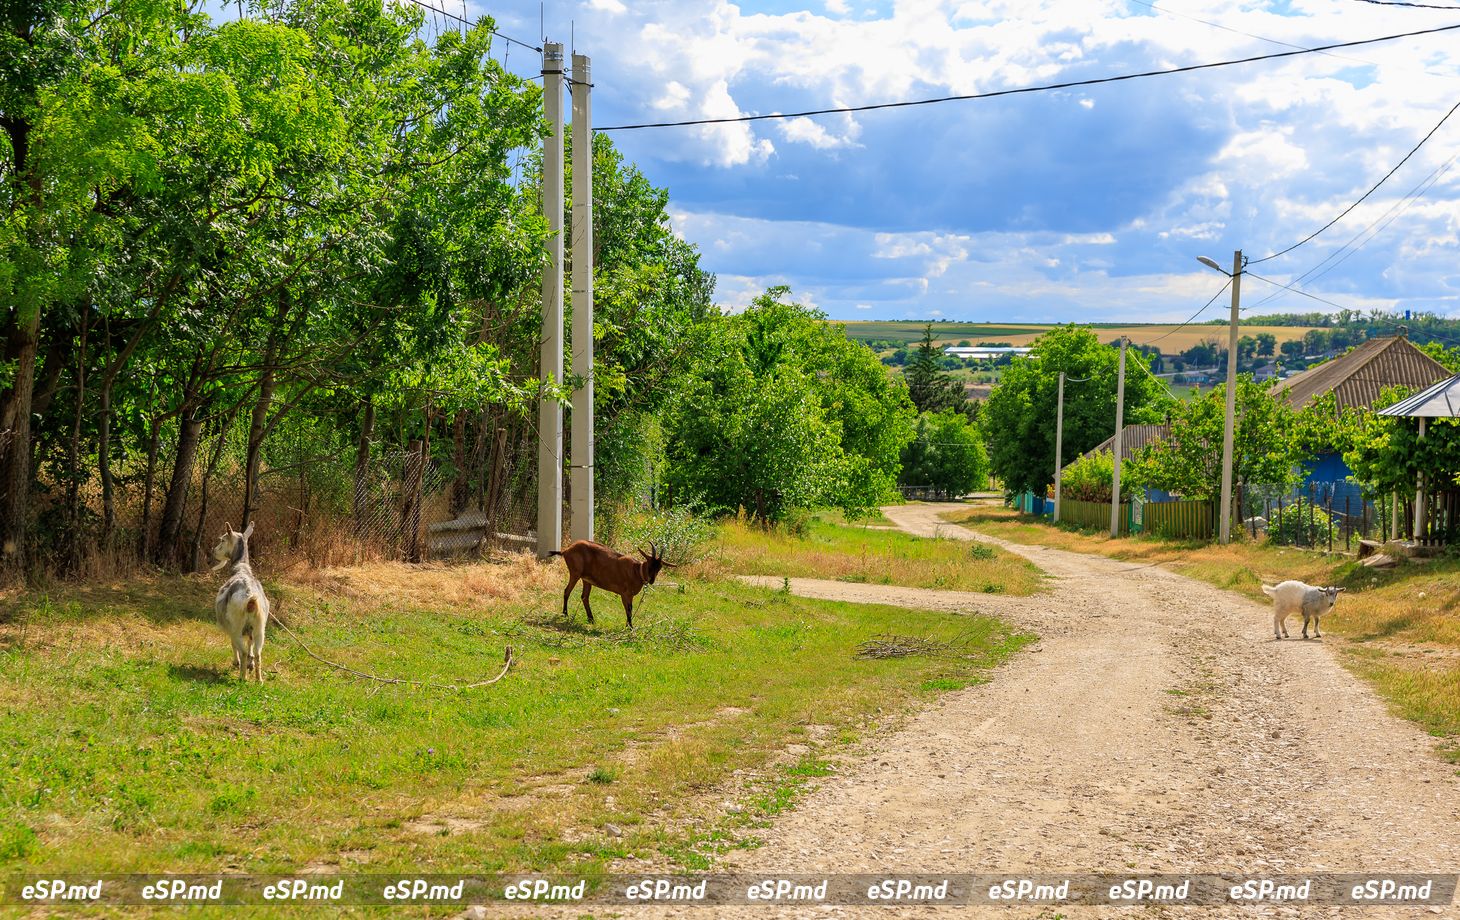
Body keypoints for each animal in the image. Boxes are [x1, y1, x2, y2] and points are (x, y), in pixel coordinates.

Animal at [210, 522, 270, 680]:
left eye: (223, 540)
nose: (213, 551)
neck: (241, 570)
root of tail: (250, 598)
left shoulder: (231, 627)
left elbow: (234, 645)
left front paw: (235, 663)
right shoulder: (250, 631)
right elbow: (250, 645)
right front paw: (250, 664)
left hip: (237, 626)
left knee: (241, 649)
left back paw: (242, 678)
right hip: (260, 627)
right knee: (258, 653)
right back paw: (258, 680)